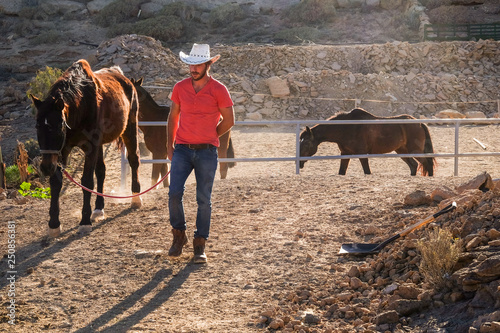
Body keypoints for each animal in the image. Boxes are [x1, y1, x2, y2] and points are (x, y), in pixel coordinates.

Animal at [30, 59, 143, 236]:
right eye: (37, 126)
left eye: (59, 126)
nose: (46, 167)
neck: (81, 107)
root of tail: (126, 80)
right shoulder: (63, 150)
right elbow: (56, 182)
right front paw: (54, 224)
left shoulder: (90, 147)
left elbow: (87, 181)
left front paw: (84, 221)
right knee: (102, 171)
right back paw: (98, 209)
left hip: (129, 129)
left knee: (134, 160)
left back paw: (136, 198)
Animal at [298, 108, 436, 176]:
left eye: (306, 143)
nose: (299, 163)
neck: (345, 127)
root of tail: (419, 123)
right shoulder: (345, 153)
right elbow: (342, 171)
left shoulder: (362, 153)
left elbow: (367, 171)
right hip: (402, 151)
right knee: (413, 165)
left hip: (415, 151)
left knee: (427, 164)